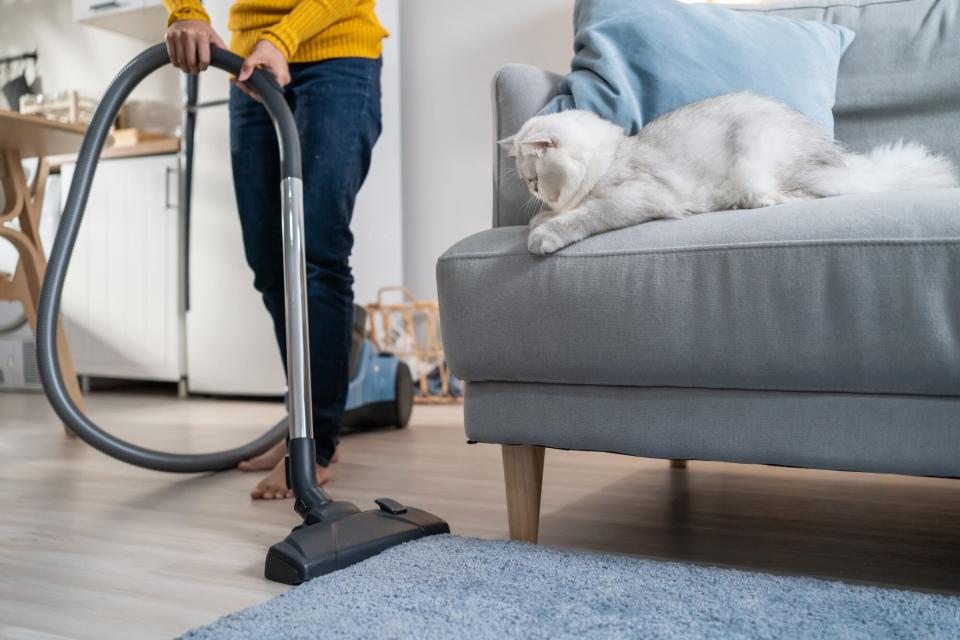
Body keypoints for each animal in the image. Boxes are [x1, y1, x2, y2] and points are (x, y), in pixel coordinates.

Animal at [502, 92, 960, 255]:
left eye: (533, 178)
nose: (533, 191)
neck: (613, 155)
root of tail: (847, 159)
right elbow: (564, 212)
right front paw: (541, 220)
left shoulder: (635, 196)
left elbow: (583, 215)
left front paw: (542, 234)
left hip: (759, 150)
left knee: (796, 195)